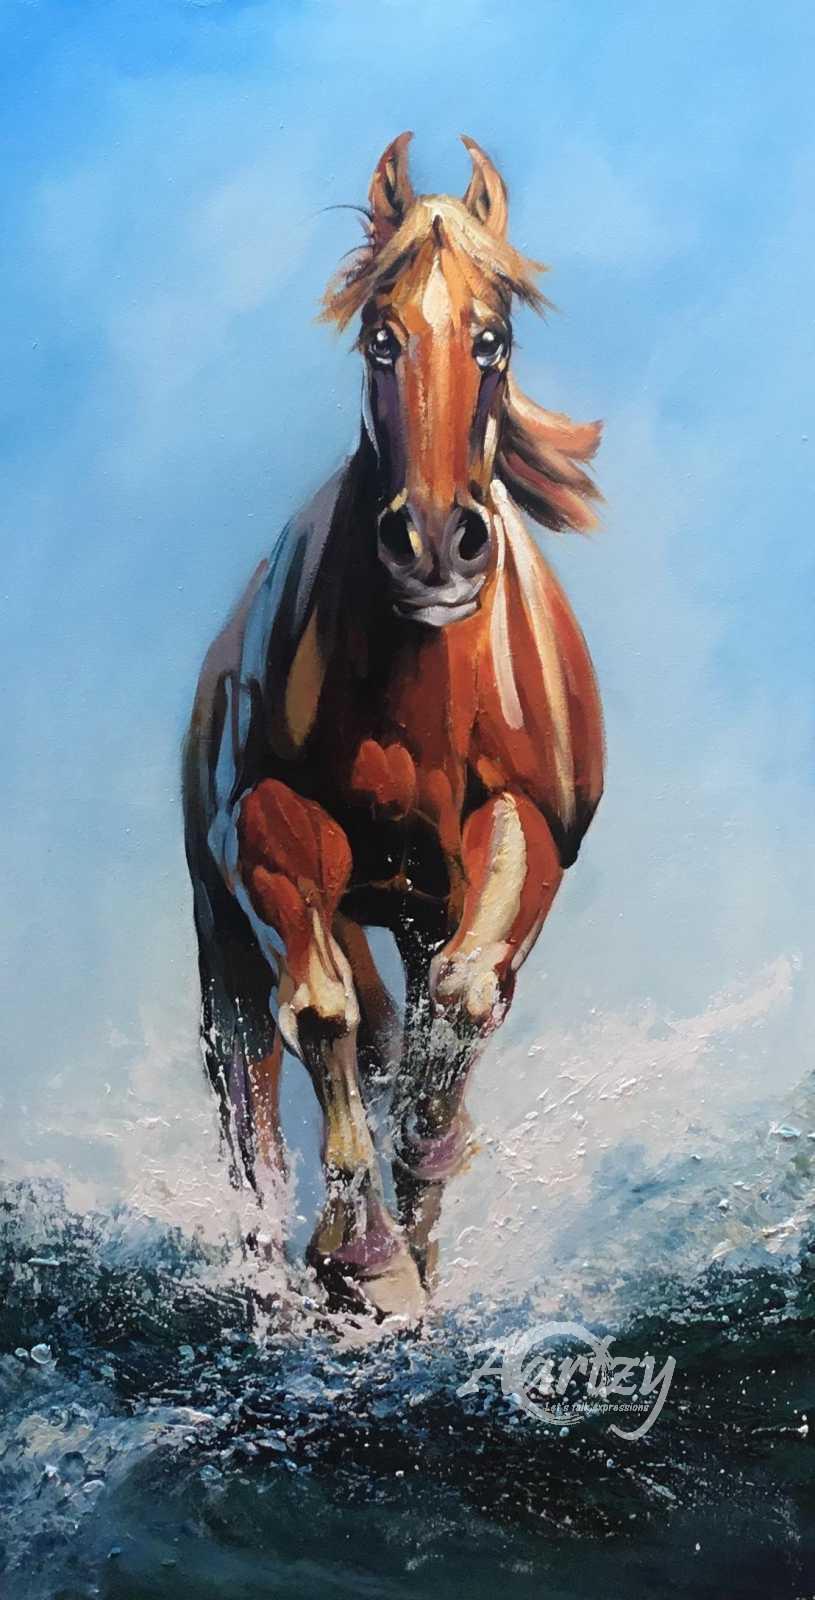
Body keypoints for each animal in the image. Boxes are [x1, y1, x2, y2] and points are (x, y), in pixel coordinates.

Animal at [183, 133, 605, 1321]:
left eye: (491, 337)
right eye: (381, 335)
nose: (433, 543)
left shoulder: (520, 837)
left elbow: (455, 1009)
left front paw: (414, 1190)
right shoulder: (269, 829)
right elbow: (325, 1015)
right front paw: (362, 1254)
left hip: (419, 911)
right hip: (225, 937)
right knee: (254, 1097)